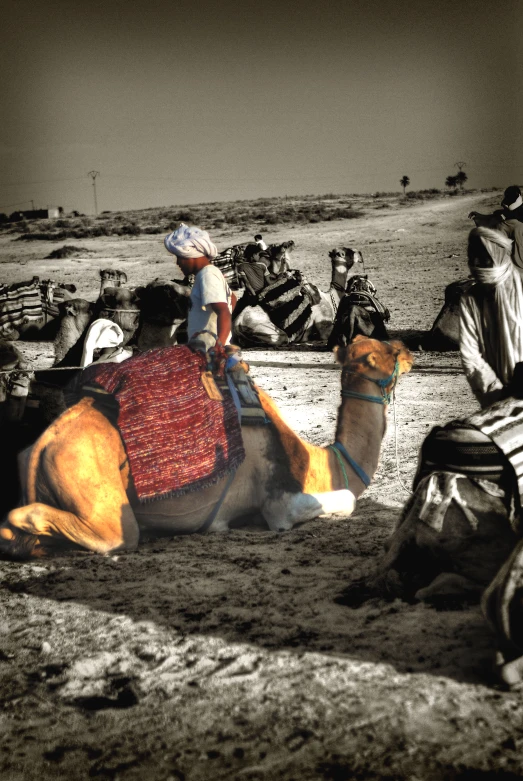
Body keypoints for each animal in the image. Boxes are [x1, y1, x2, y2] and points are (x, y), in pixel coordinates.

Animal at [0, 338, 414, 556]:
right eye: (387, 353)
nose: (408, 350)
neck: (316, 461)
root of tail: (43, 444)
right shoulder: (280, 500)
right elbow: (346, 499)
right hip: (95, 495)